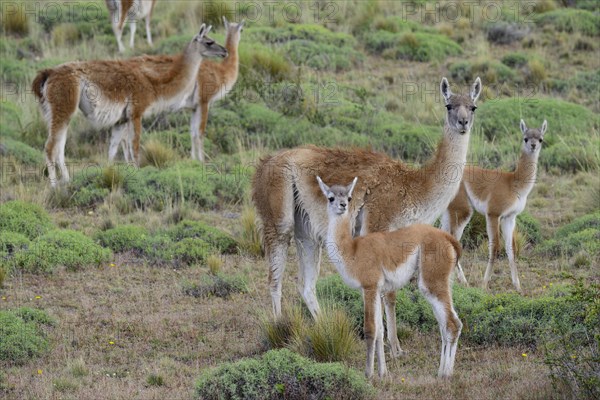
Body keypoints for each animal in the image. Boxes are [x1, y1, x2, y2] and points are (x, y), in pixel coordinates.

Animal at [318, 177, 464, 380]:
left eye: (348, 197)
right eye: (330, 197)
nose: (342, 205)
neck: (352, 250)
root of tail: (449, 238)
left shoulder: (370, 286)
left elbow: (370, 329)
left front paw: (368, 374)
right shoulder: (375, 289)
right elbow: (380, 330)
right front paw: (383, 372)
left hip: (432, 281)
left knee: (452, 324)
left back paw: (446, 374)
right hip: (443, 281)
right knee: (445, 325)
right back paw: (442, 371)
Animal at [438, 119, 548, 290]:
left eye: (540, 139)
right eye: (525, 138)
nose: (533, 145)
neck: (514, 184)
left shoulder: (510, 218)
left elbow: (511, 249)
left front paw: (518, 286)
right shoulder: (493, 213)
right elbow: (495, 247)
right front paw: (484, 284)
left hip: (448, 211)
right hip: (462, 209)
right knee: (453, 240)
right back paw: (463, 281)